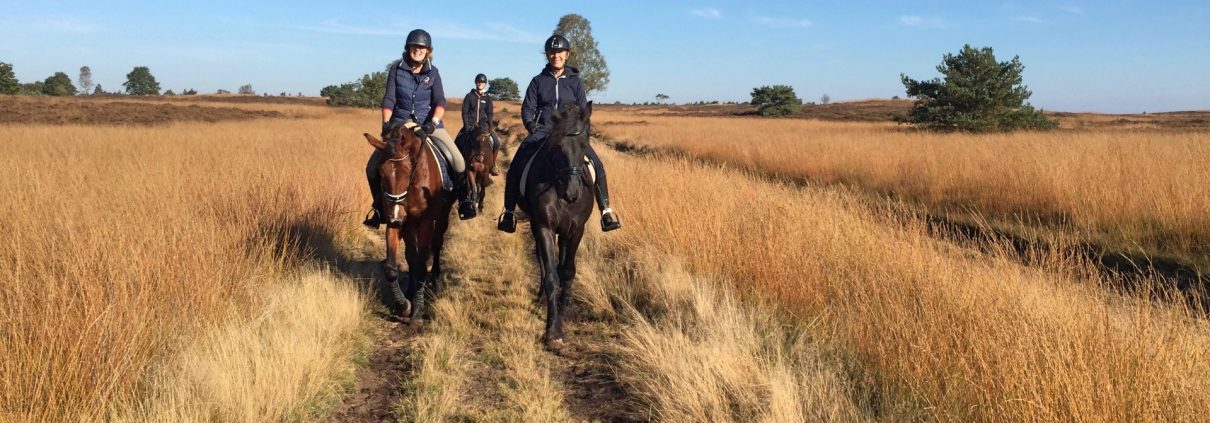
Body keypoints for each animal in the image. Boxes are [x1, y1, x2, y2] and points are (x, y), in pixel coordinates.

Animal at [363, 122, 454, 323]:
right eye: (381, 173)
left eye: (407, 171)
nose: (397, 216)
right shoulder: (396, 222)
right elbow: (392, 268)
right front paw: (404, 305)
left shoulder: (426, 222)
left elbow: (421, 264)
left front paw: (417, 308)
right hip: (409, 225)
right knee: (411, 254)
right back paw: (412, 290)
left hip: (441, 218)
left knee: (437, 245)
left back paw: (435, 280)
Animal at [517, 100, 597, 348]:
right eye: (557, 147)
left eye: (584, 146)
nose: (572, 193)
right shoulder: (544, 227)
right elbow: (552, 275)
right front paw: (553, 331)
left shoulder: (577, 229)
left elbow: (568, 270)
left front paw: (567, 309)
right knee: (542, 259)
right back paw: (541, 295)